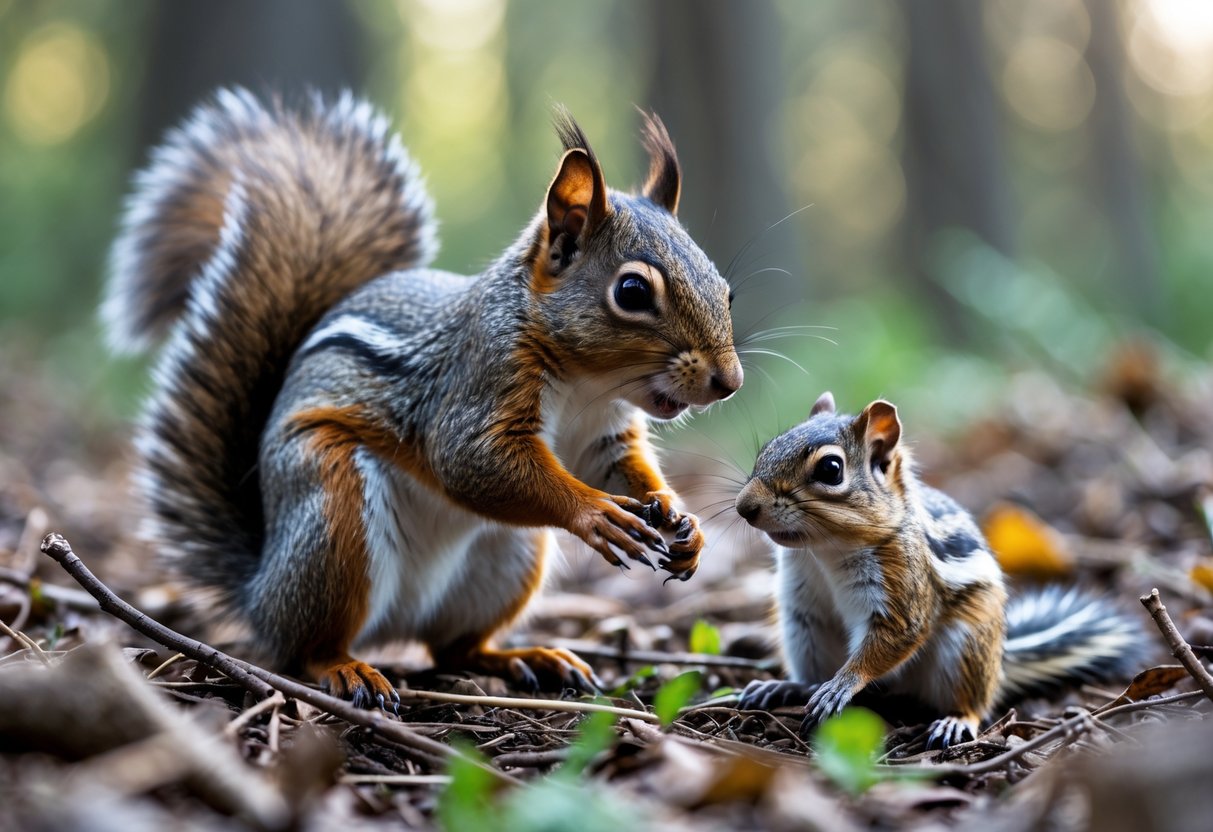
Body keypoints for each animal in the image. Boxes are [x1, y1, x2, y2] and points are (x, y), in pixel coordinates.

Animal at [102, 89, 743, 708]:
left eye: (725, 288)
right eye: (631, 291)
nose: (728, 382)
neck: (590, 383)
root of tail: (258, 591)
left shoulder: (604, 434)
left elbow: (617, 467)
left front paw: (680, 519)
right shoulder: (477, 380)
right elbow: (469, 462)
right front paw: (595, 514)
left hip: (507, 559)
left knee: (453, 648)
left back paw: (525, 657)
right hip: (331, 515)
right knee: (307, 645)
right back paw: (346, 668)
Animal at [734, 391, 1145, 748]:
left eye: (831, 469)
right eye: (767, 447)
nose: (744, 506)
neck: (823, 552)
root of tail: (1000, 659)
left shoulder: (901, 584)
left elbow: (894, 638)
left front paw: (844, 683)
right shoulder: (804, 600)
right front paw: (806, 686)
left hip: (965, 648)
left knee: (976, 703)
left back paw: (956, 720)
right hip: (805, 632)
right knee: (812, 674)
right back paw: (787, 688)